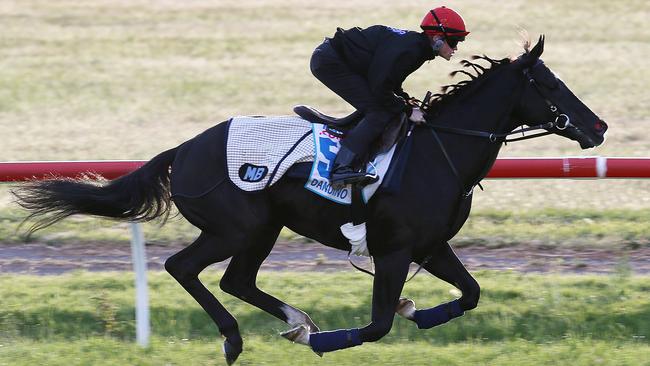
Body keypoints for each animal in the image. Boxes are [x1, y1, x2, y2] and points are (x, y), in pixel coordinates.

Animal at [12, 36, 604, 364]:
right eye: (551, 85)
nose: (597, 127)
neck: (441, 152)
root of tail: (184, 148)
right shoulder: (394, 251)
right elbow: (377, 326)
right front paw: (335, 340)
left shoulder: (432, 246)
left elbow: (472, 294)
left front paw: (417, 309)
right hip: (236, 227)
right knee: (183, 267)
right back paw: (237, 339)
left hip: (264, 229)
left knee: (236, 280)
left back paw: (295, 321)